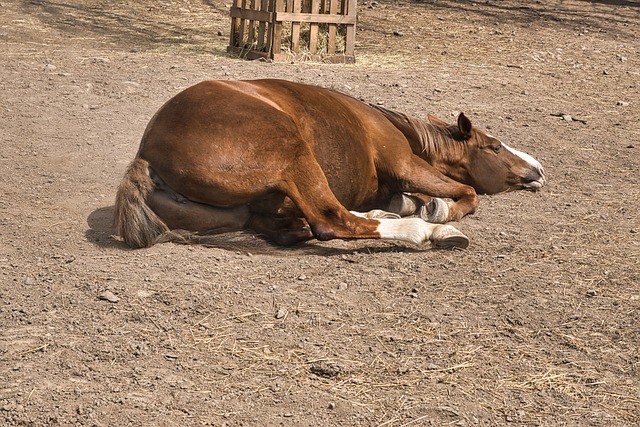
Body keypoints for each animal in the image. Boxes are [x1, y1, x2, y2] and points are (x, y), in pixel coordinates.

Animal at [115, 79, 544, 251]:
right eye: (494, 146)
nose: (538, 169)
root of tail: (147, 156)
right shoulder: (405, 163)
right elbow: (468, 192)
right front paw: (438, 212)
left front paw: (408, 204)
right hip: (293, 155)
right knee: (331, 220)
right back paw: (428, 232)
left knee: (305, 222)